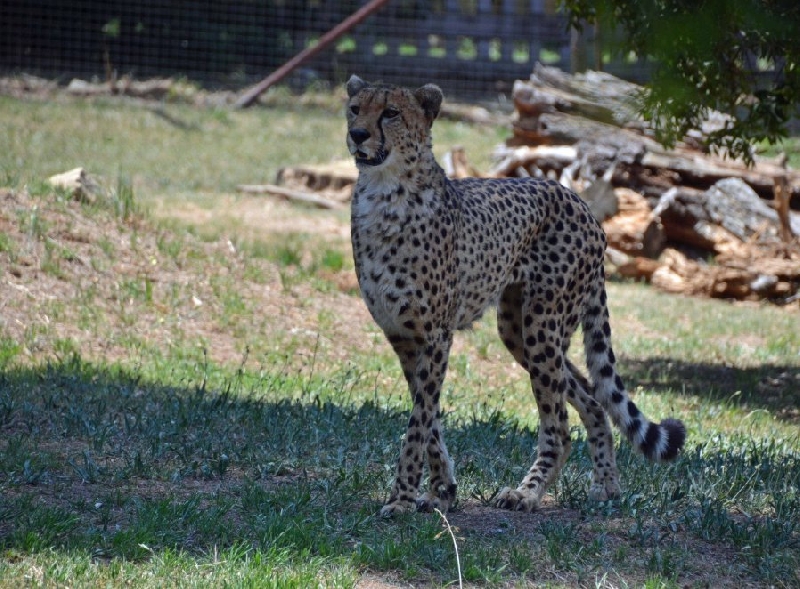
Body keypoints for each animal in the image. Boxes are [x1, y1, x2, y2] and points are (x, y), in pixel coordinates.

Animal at [346, 74, 688, 516]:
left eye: (390, 113)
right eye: (355, 108)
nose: (357, 134)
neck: (383, 193)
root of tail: (580, 202)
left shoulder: (436, 334)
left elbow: (418, 423)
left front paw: (402, 498)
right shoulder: (403, 335)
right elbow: (429, 418)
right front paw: (442, 491)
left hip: (543, 325)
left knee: (559, 423)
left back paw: (527, 493)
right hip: (518, 330)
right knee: (593, 400)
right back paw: (606, 485)